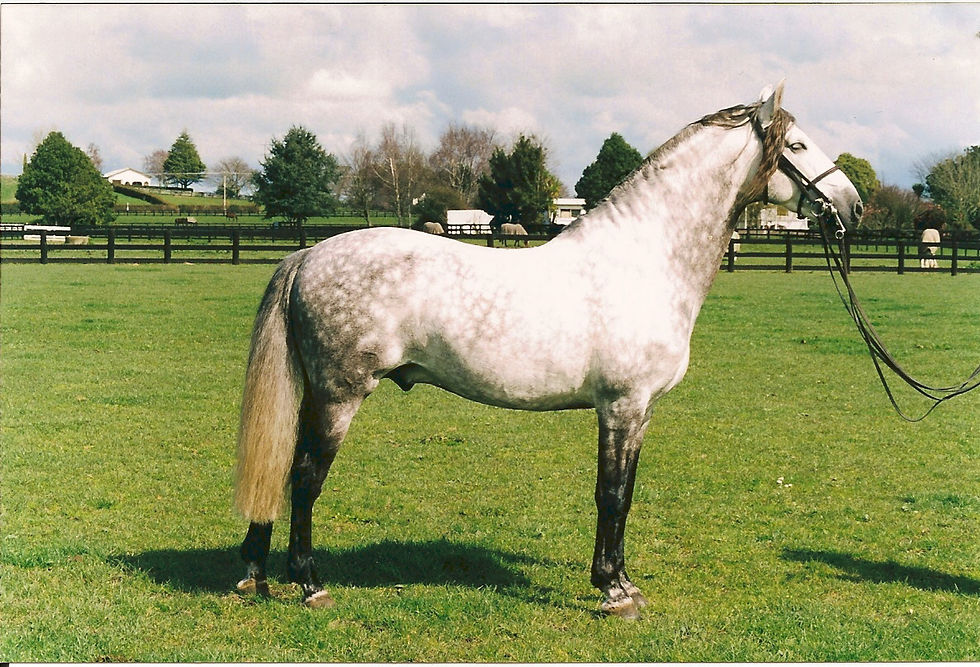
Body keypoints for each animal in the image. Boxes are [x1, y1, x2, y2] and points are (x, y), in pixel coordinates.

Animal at [233, 83, 863, 618]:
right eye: (799, 146)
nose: (853, 207)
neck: (645, 260)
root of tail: (306, 257)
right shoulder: (621, 406)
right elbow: (611, 494)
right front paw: (613, 592)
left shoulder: (640, 411)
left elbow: (625, 495)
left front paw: (623, 582)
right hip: (339, 395)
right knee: (305, 477)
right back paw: (309, 583)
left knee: (283, 470)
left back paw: (255, 575)